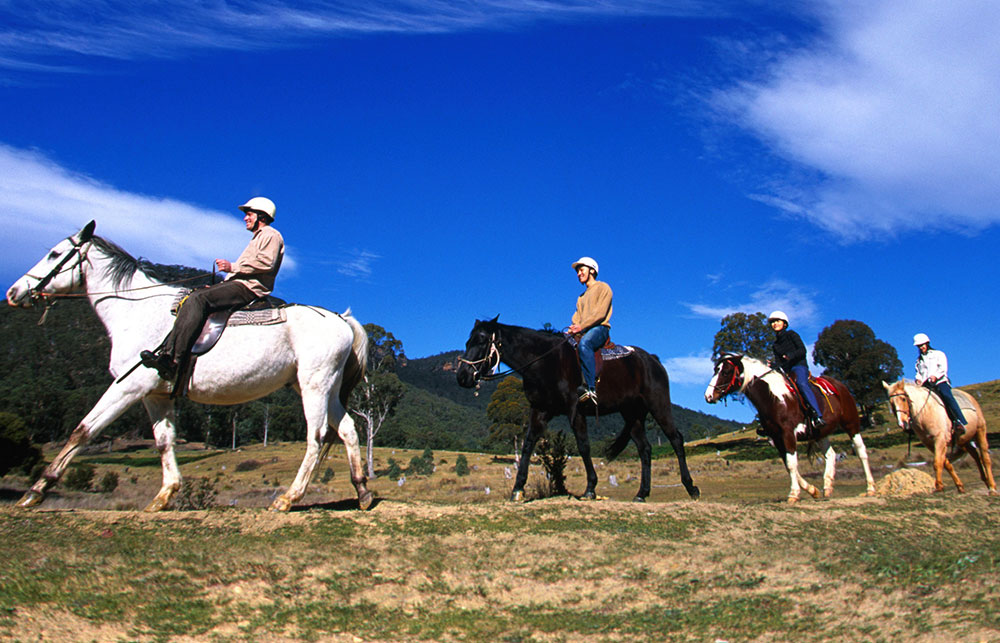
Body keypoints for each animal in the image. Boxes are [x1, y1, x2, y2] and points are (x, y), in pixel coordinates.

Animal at [4, 221, 372, 512]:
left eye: (54, 254)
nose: (13, 292)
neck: (136, 312)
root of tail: (341, 318)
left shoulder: (128, 387)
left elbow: (83, 430)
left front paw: (36, 491)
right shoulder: (155, 395)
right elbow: (164, 441)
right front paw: (165, 495)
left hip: (314, 385)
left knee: (317, 435)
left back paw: (288, 498)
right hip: (323, 387)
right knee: (348, 429)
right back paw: (362, 492)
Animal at [458, 320, 700, 506]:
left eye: (481, 341)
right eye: (468, 342)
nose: (462, 376)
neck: (546, 361)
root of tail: (652, 359)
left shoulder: (575, 409)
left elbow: (583, 446)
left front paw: (590, 488)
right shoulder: (540, 411)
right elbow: (527, 446)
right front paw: (518, 489)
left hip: (658, 405)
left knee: (676, 439)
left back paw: (691, 488)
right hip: (632, 415)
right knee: (645, 449)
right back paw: (642, 493)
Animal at [704, 352, 876, 504]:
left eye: (726, 371)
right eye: (715, 370)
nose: (708, 396)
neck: (773, 398)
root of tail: (840, 386)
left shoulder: (788, 434)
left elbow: (792, 464)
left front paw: (793, 494)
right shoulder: (776, 438)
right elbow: (788, 465)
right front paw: (813, 491)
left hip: (851, 423)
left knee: (861, 451)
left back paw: (870, 488)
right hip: (821, 433)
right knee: (831, 455)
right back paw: (827, 488)